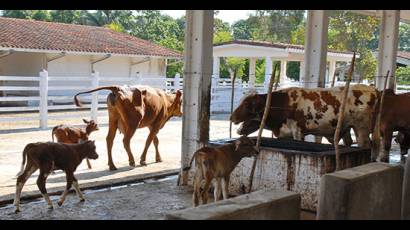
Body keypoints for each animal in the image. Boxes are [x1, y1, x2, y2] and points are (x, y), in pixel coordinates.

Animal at [231, 85, 378, 148]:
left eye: (246, 104)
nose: (231, 117)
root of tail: (373, 89)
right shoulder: (286, 134)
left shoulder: (298, 131)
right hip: (348, 128)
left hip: (362, 128)